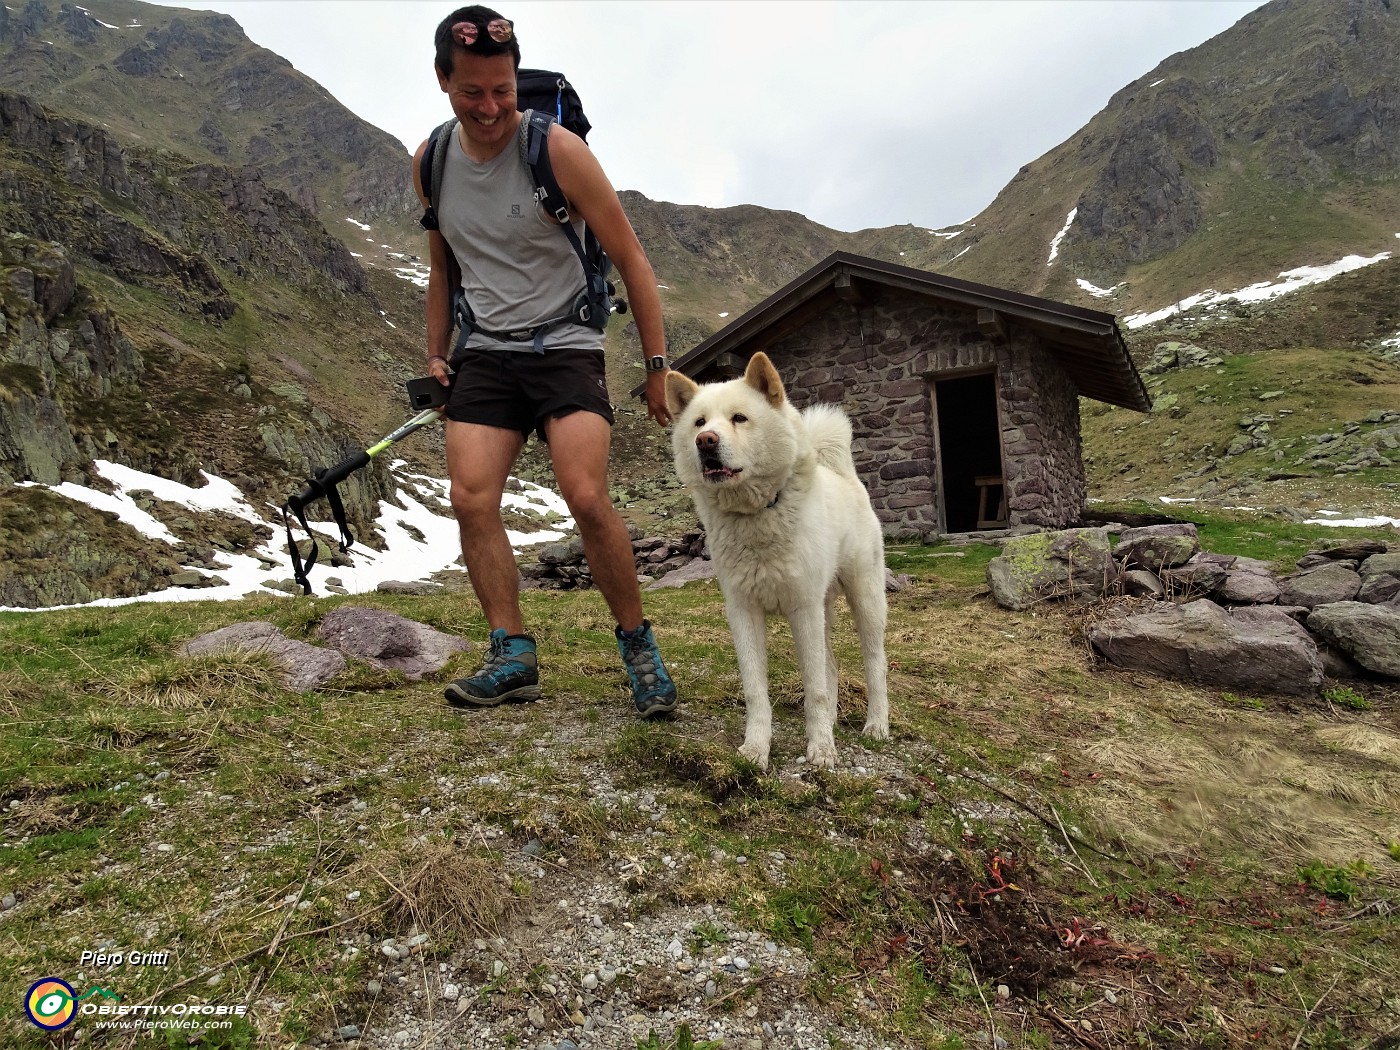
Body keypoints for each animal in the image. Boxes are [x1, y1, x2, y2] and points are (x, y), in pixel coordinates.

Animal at [663, 354, 884, 772]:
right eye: (699, 422)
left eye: (739, 418)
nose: (705, 441)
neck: (755, 516)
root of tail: (844, 475)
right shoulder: (743, 613)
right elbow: (756, 690)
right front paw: (755, 748)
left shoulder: (803, 610)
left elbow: (813, 688)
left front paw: (821, 749)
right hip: (824, 609)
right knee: (831, 666)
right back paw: (833, 721)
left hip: (865, 601)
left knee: (874, 663)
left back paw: (877, 725)